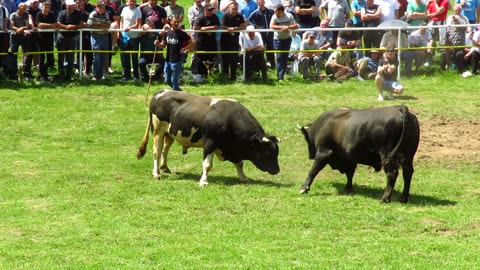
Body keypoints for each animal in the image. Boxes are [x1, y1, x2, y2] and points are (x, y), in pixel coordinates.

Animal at [137, 89, 282, 185]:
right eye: (268, 153)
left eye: (276, 152)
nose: (277, 170)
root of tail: (162, 91)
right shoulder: (210, 143)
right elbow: (207, 165)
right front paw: (203, 181)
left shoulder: (234, 147)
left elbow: (239, 163)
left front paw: (243, 177)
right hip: (158, 131)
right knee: (156, 152)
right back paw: (157, 173)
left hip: (170, 133)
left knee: (165, 150)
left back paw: (165, 167)